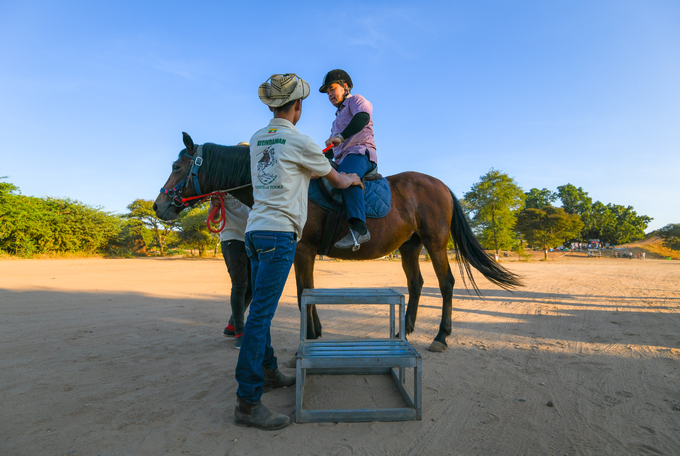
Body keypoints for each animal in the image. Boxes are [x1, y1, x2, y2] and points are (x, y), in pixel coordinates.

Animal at [155, 133, 524, 352]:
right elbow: (307, 291)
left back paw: (441, 336)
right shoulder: (301, 251)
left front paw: (312, 333)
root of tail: (441, 185)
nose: (159, 206)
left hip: (435, 242)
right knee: (416, 284)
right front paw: (315, 331)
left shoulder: (303, 250)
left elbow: (303, 292)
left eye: (177, 165)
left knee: (445, 283)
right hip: (410, 246)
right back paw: (404, 330)